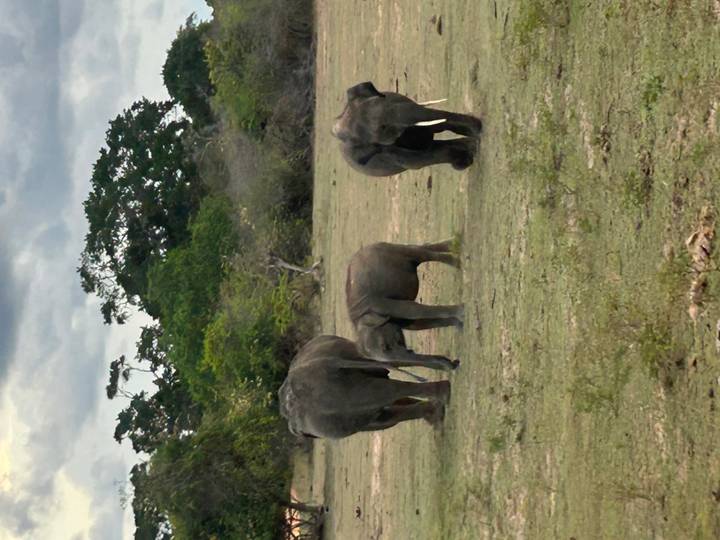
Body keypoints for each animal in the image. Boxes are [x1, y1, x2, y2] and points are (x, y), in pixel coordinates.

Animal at [332, 81, 483, 176]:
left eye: (387, 99)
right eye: (384, 129)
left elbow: (438, 123)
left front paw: (476, 131)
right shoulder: (387, 152)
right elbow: (422, 157)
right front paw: (470, 152)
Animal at [346, 239, 463, 369]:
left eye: (386, 346)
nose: (454, 363)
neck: (358, 322)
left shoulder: (382, 304)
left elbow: (414, 310)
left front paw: (462, 312)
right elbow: (417, 324)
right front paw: (459, 325)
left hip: (393, 251)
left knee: (422, 254)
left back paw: (458, 260)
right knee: (422, 249)